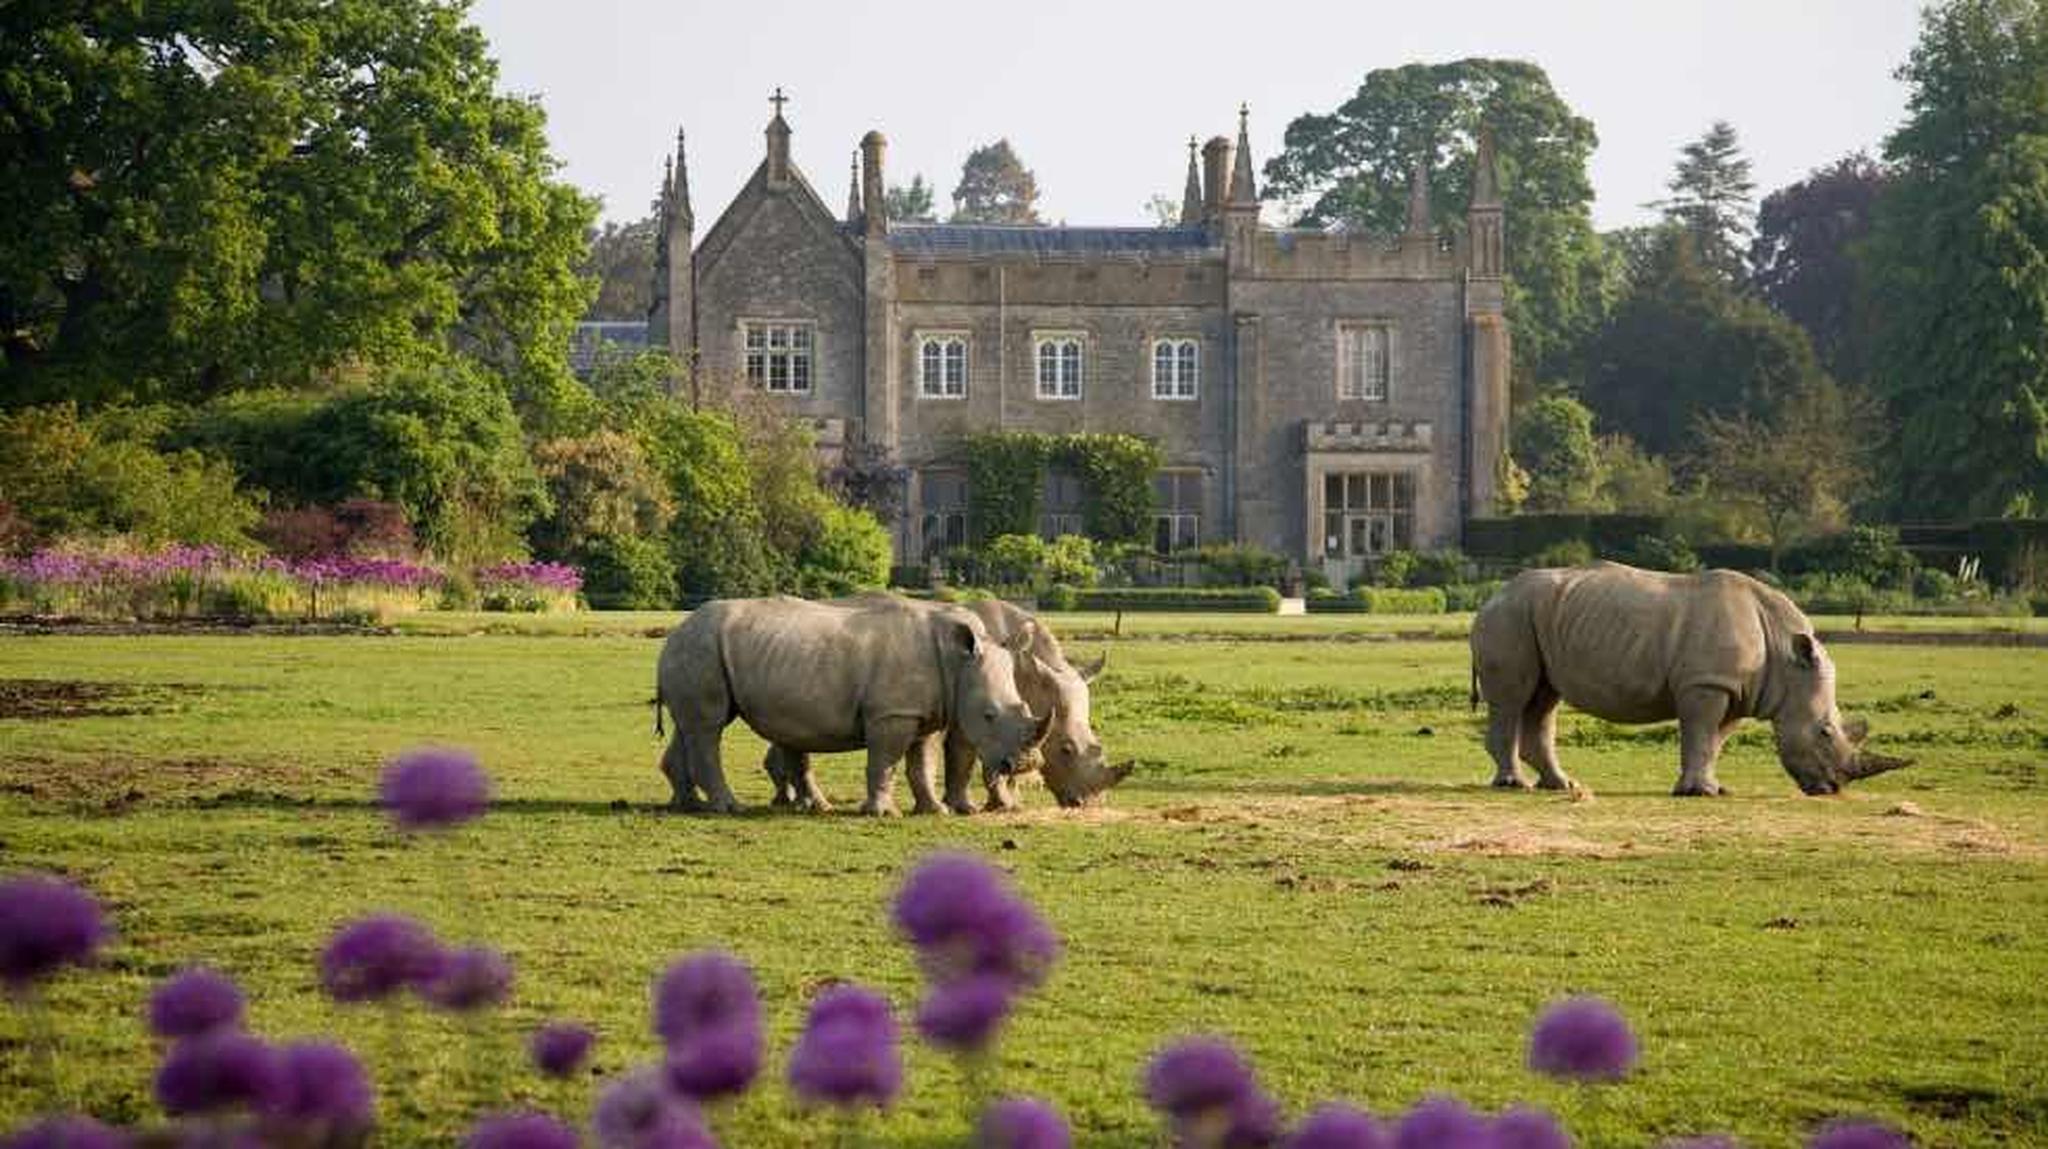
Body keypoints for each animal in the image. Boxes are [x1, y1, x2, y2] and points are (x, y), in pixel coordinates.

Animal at [654, 595, 1050, 815]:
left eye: (1023, 705)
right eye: (989, 716)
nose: (1025, 764)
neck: (958, 661)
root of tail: (675, 632)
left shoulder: (924, 713)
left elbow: (922, 763)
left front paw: (934, 811)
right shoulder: (892, 714)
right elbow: (885, 761)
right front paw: (883, 814)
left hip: (700, 650)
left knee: (691, 726)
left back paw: (689, 805)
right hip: (702, 648)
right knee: (709, 727)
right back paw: (727, 807)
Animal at [762, 595, 1129, 812]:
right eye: (1065, 750)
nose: (1087, 804)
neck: (1028, 672)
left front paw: (1004, 802)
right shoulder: (979, 711)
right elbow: (971, 757)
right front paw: (998, 805)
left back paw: (788, 799)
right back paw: (789, 800)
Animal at [1469, 562, 1911, 796]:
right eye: (1824, 732)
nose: (1833, 788)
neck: (1786, 660)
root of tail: (1489, 599)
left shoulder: (1735, 689)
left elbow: (1714, 742)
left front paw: (1712, 789)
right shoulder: (1706, 684)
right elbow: (1698, 734)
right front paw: (1698, 792)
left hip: (1536, 618)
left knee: (1543, 699)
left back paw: (1562, 785)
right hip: (1510, 618)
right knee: (1513, 700)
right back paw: (1514, 785)